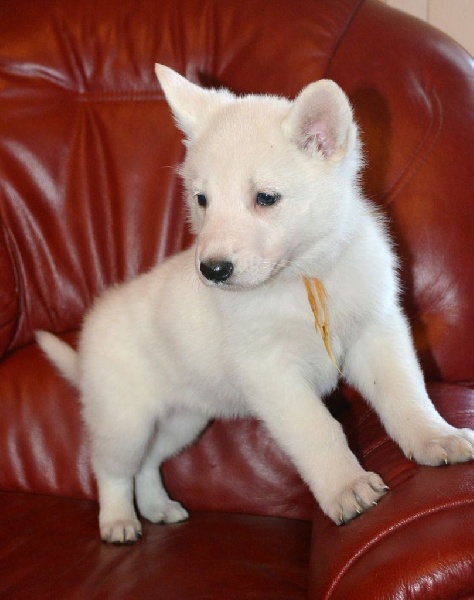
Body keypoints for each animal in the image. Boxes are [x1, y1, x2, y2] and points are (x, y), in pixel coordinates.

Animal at [37, 65, 474, 544]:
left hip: (184, 418)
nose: (212, 270)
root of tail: (86, 343)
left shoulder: (375, 333)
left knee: (149, 464)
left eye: (266, 197)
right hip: (124, 420)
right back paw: (118, 521)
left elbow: (405, 394)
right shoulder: (272, 373)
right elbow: (318, 429)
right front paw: (346, 486)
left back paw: (159, 507)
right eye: (201, 199)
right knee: (110, 469)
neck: (305, 278)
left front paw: (436, 438)